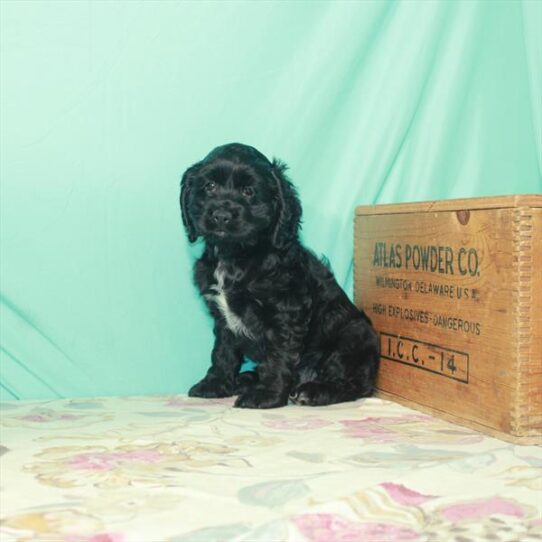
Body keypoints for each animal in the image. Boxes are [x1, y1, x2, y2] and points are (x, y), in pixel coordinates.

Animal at [181, 143, 380, 408]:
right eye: (209, 186)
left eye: (248, 192)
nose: (221, 215)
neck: (236, 255)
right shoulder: (222, 319)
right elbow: (223, 352)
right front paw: (215, 384)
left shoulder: (285, 314)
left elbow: (277, 357)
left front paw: (266, 396)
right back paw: (245, 379)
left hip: (353, 336)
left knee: (353, 384)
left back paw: (313, 391)